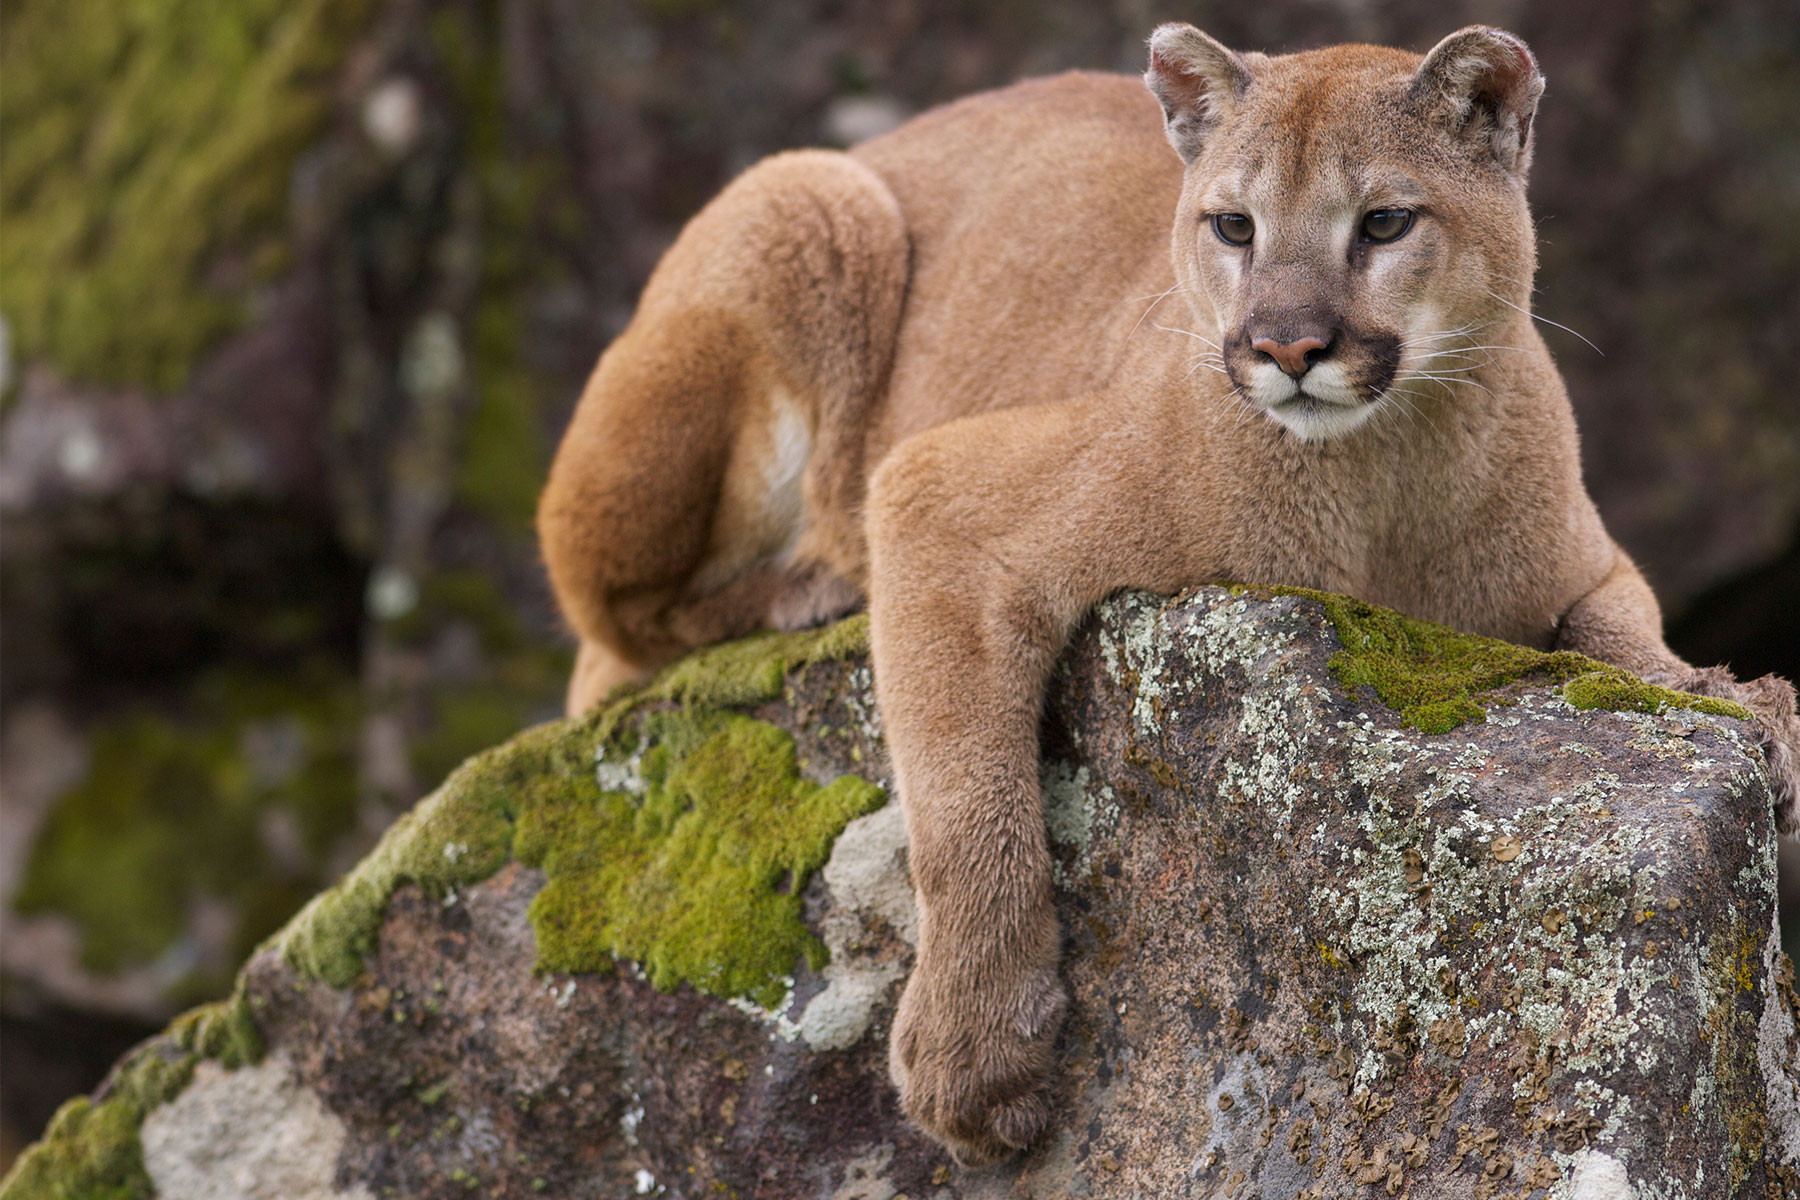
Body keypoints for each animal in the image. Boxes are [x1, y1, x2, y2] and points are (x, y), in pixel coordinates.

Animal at [536, 23, 1800, 1163]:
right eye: (1233, 225)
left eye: (1385, 222)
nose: (1286, 347)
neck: (1379, 487)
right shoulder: (936, 495)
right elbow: (965, 802)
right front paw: (976, 1058)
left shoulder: (1590, 561)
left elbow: (1625, 637)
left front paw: (1737, 702)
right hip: (807, 201)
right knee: (608, 631)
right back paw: (807, 588)